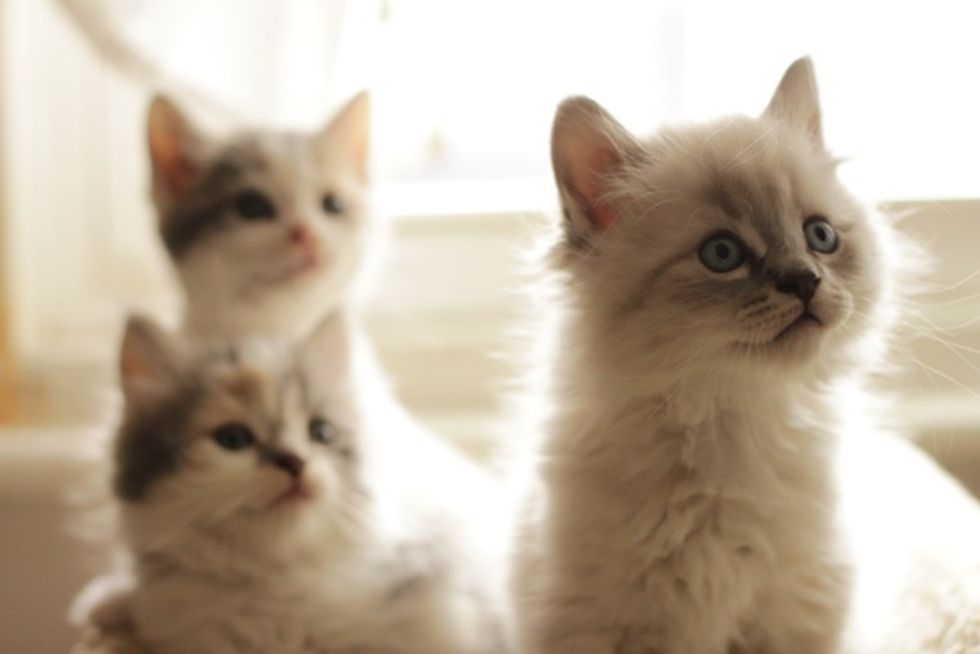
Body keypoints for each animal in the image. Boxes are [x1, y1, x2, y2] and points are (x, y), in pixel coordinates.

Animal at [512, 57, 902, 654]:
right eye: (722, 254)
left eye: (820, 236)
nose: (805, 282)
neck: (728, 425)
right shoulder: (595, 623)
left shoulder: (795, 615)